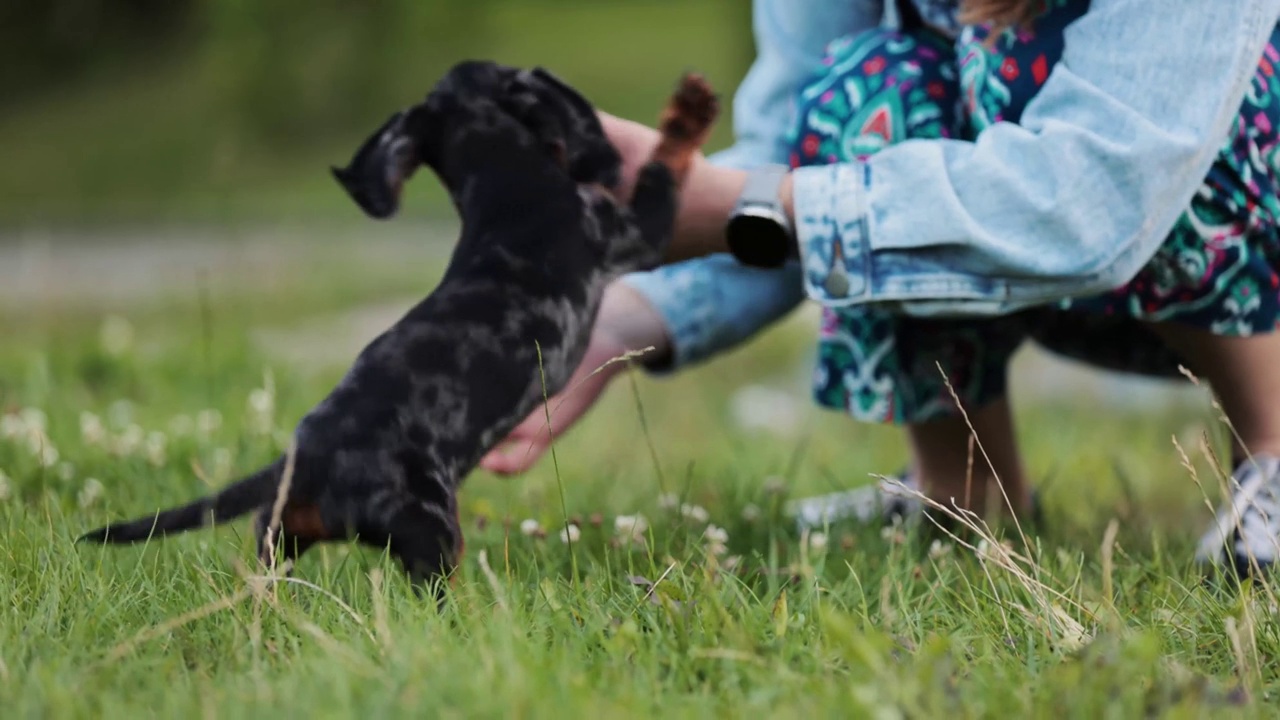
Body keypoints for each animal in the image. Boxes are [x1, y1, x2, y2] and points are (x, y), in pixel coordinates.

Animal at [80, 58, 721, 591]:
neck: (506, 180)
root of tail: (305, 456)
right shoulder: (633, 231)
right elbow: (665, 167)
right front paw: (687, 111)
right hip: (432, 532)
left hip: (279, 535)